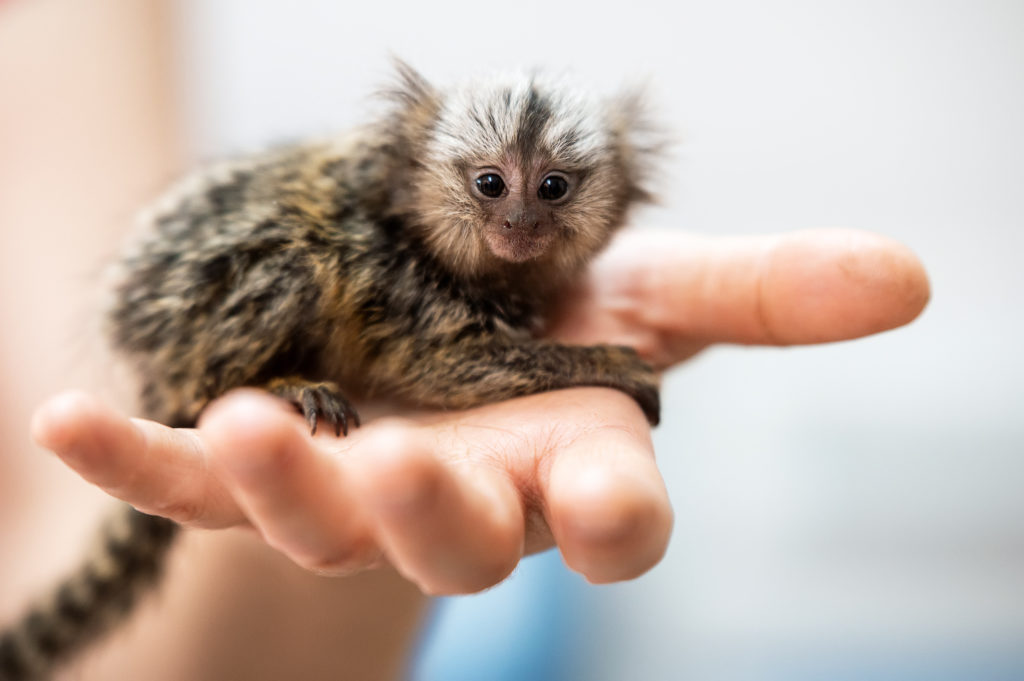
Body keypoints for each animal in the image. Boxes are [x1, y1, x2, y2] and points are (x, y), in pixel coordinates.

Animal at [0, 61, 663, 675]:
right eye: (491, 184)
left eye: (552, 187)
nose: (521, 225)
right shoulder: (402, 287)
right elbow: (442, 366)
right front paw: (606, 363)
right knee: (288, 268)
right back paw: (283, 388)